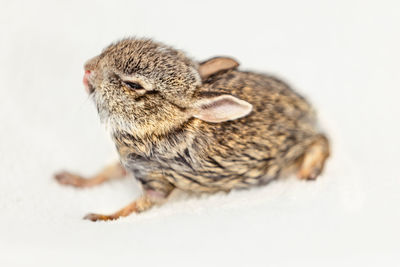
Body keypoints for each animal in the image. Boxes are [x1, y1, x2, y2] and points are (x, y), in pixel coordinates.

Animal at [54, 37, 330, 222]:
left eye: (133, 85)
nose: (87, 68)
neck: (164, 124)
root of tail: (309, 116)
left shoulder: (156, 179)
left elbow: (137, 205)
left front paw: (100, 217)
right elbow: (106, 172)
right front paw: (71, 179)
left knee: (322, 142)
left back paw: (309, 172)